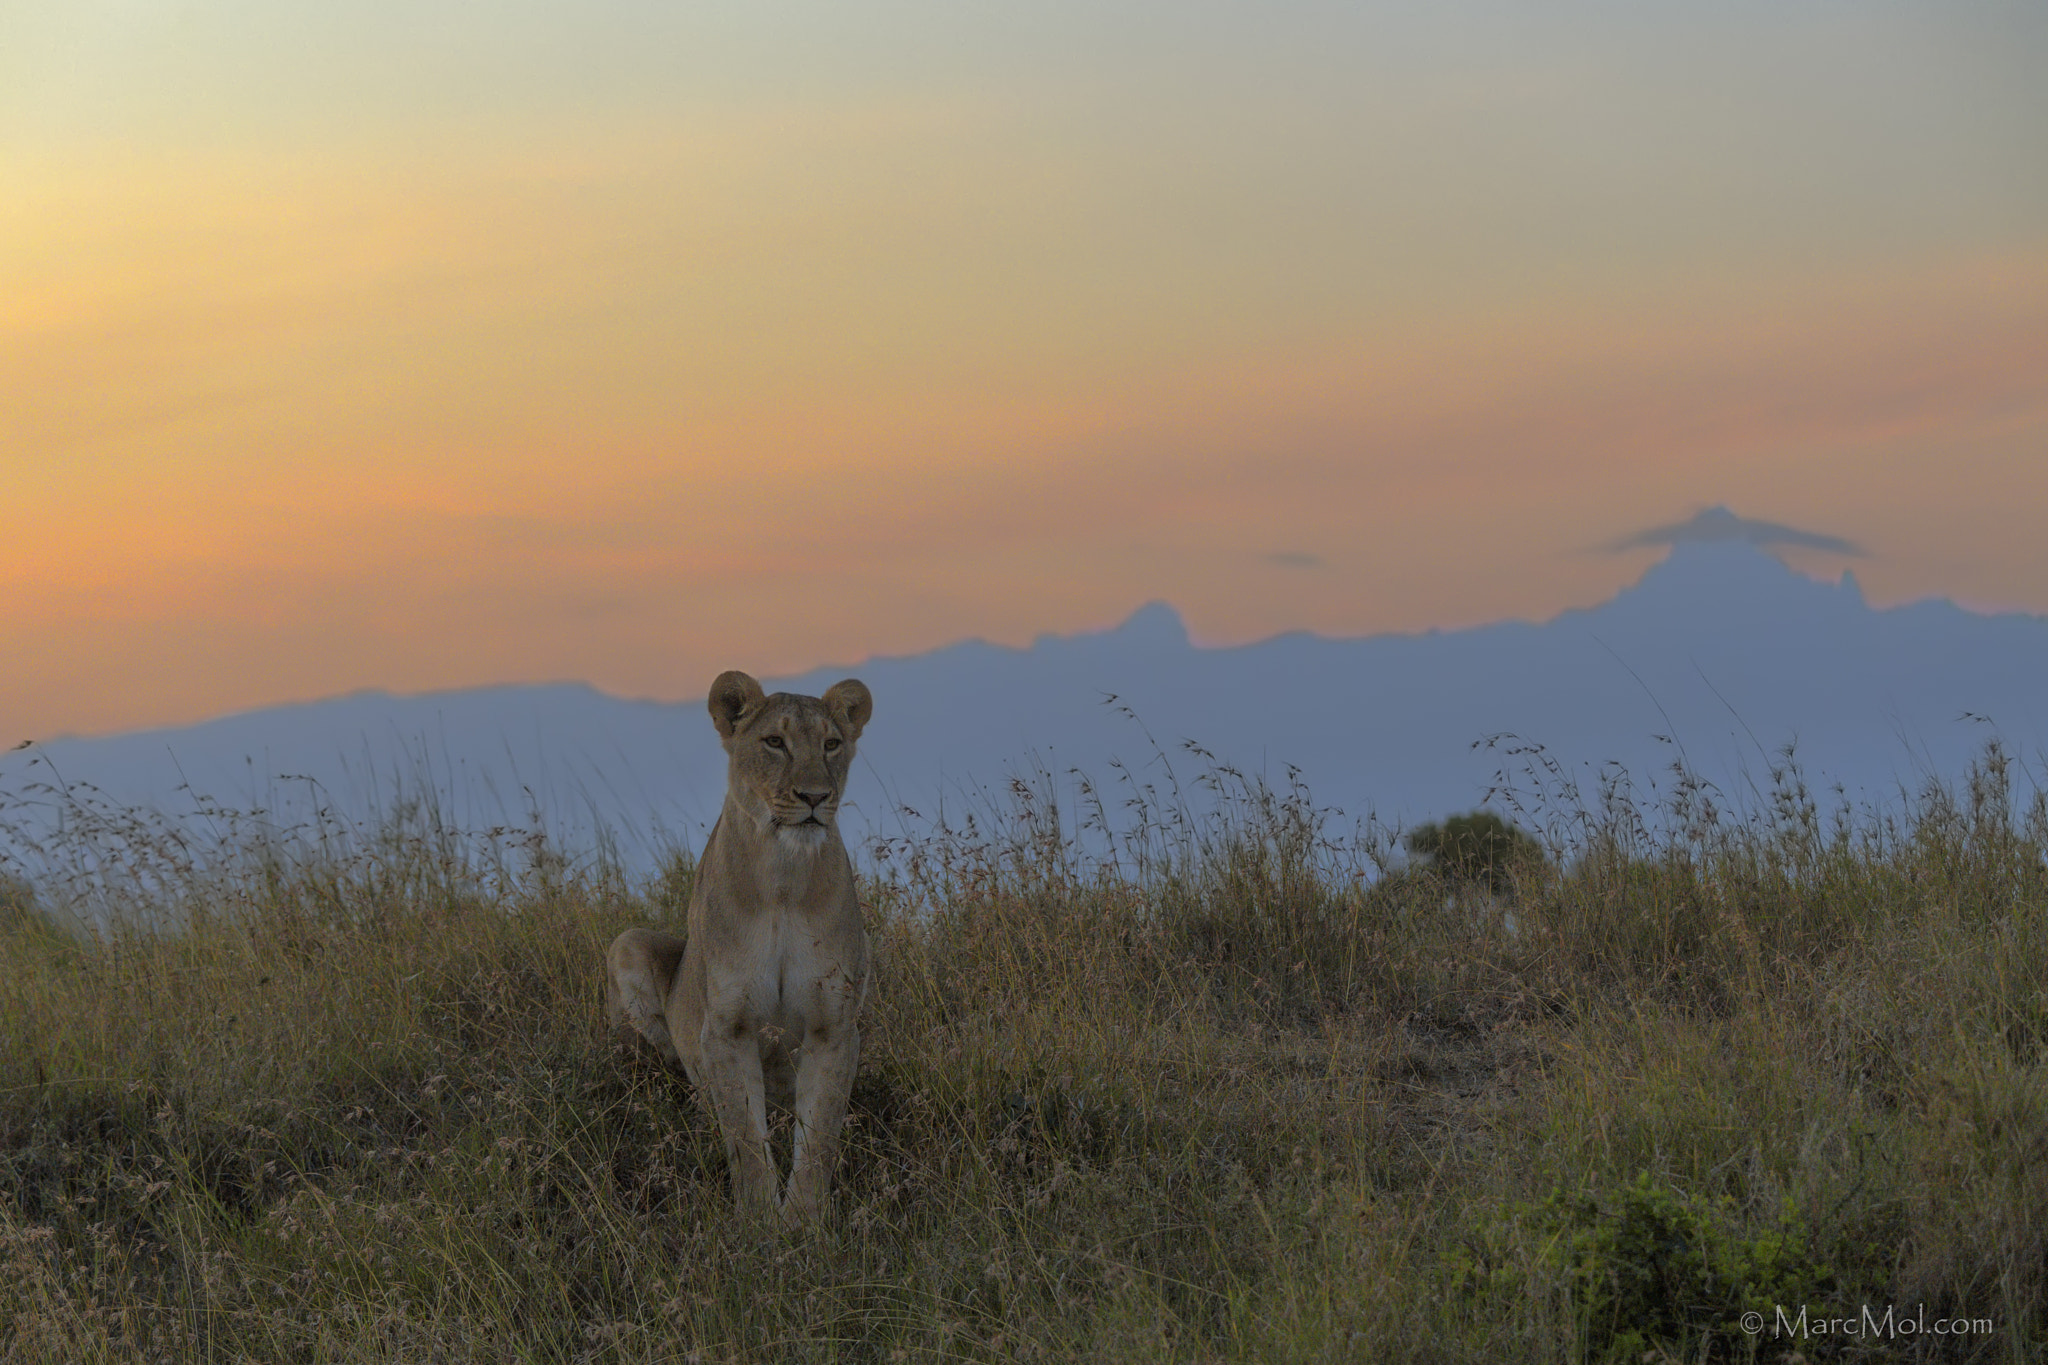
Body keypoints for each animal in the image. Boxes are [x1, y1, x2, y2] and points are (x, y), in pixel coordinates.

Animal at [605, 671, 873, 1224]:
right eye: (774, 742)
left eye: (831, 744)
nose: (815, 796)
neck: (784, 879)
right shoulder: (726, 1027)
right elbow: (746, 1138)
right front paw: (760, 1225)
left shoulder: (834, 1027)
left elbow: (818, 1140)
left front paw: (805, 1225)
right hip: (630, 945)